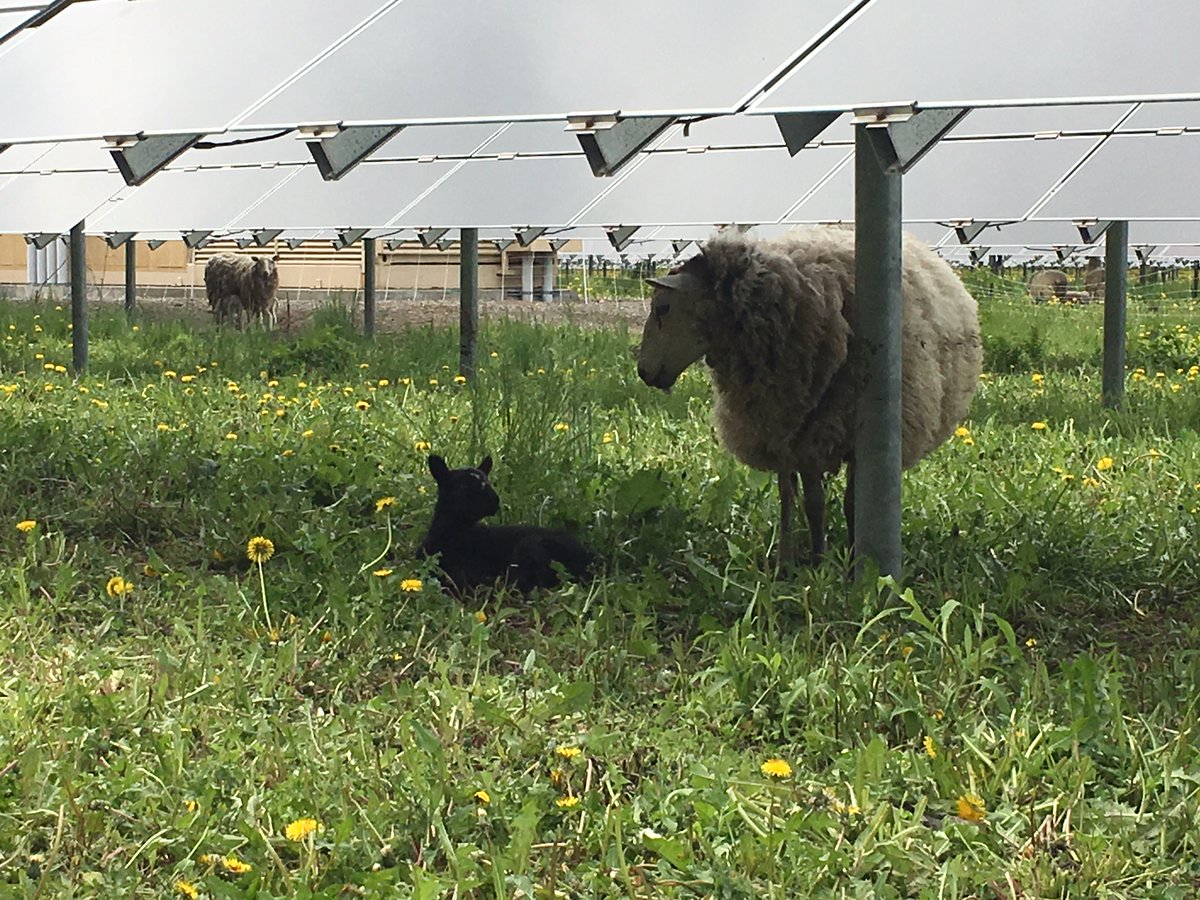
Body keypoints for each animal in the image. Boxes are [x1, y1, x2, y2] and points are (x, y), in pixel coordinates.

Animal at [633, 229, 979, 571]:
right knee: (787, 494)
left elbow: (851, 502)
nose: (644, 372)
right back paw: (784, 561)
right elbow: (813, 502)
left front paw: (852, 561)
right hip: (781, 431)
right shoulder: (804, 435)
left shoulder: (844, 435)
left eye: (663, 308)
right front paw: (817, 561)